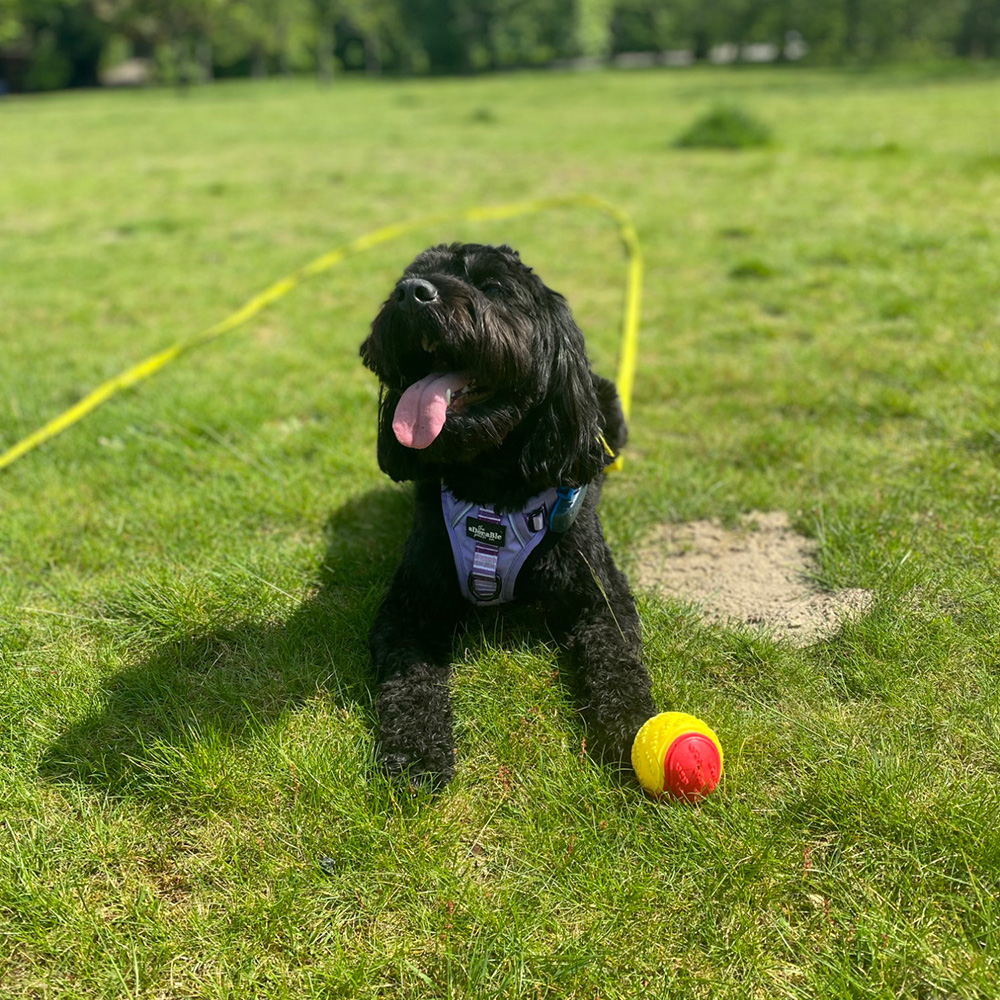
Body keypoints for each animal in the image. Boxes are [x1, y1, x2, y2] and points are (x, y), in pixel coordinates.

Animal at [360, 244, 656, 788]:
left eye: (493, 288)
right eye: (409, 277)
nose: (411, 292)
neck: (491, 491)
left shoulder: (601, 597)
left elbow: (619, 660)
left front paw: (633, 729)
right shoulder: (407, 608)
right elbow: (408, 681)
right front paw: (415, 750)